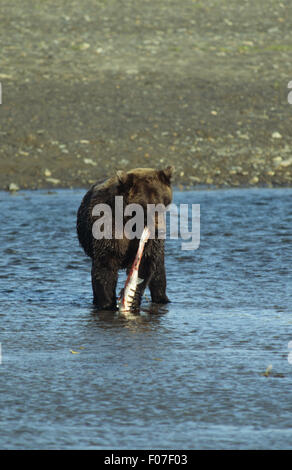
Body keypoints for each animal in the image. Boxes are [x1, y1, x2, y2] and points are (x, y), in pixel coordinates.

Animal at [76, 167, 175, 310]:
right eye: (146, 206)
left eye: (163, 203)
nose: (160, 230)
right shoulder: (108, 227)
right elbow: (106, 266)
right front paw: (107, 304)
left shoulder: (148, 242)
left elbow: (145, 263)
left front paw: (133, 300)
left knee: (159, 271)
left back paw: (162, 298)